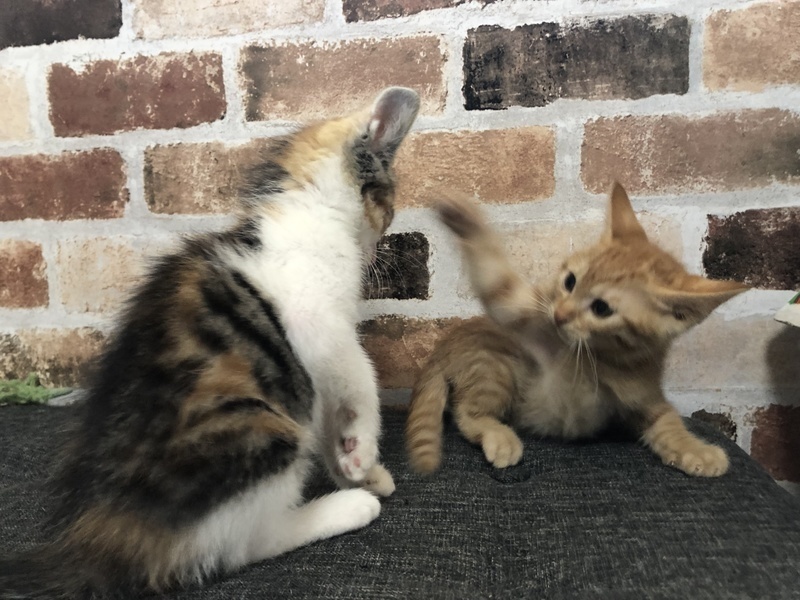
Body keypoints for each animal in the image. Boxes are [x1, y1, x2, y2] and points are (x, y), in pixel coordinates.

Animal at [0, 86, 420, 598]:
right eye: (389, 205)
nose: (378, 244)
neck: (304, 213)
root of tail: (106, 534)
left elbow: (329, 415)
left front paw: (355, 467)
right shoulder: (321, 328)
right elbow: (361, 381)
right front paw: (360, 457)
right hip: (266, 434)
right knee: (244, 546)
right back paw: (347, 508)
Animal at [406, 184, 748, 477]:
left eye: (601, 309)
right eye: (570, 281)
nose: (559, 314)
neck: (606, 361)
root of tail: (444, 348)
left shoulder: (644, 395)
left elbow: (668, 419)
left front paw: (697, 451)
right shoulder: (532, 321)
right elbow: (502, 289)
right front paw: (465, 219)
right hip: (495, 366)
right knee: (467, 412)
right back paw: (500, 437)